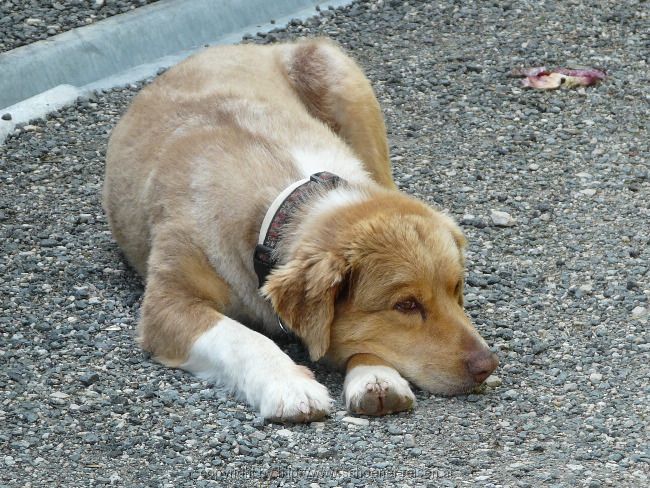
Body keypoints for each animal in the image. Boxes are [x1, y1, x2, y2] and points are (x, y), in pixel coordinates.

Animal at [102, 38, 496, 422]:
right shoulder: (167, 302)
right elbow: (244, 339)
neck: (287, 202)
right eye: (406, 305)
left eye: (456, 289)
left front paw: (375, 376)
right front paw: (290, 386)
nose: (488, 365)